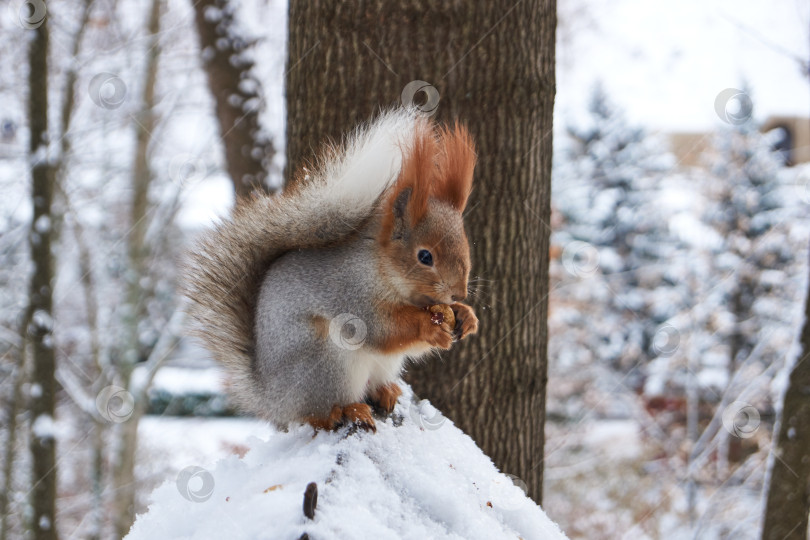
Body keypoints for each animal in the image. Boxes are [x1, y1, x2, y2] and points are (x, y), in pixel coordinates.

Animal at [185, 107, 474, 432]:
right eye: (425, 256)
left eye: (465, 244)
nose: (458, 293)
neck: (386, 273)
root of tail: (272, 401)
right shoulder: (350, 294)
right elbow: (382, 329)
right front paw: (430, 326)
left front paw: (465, 316)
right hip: (323, 363)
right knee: (316, 414)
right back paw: (346, 411)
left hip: (380, 366)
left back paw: (385, 391)